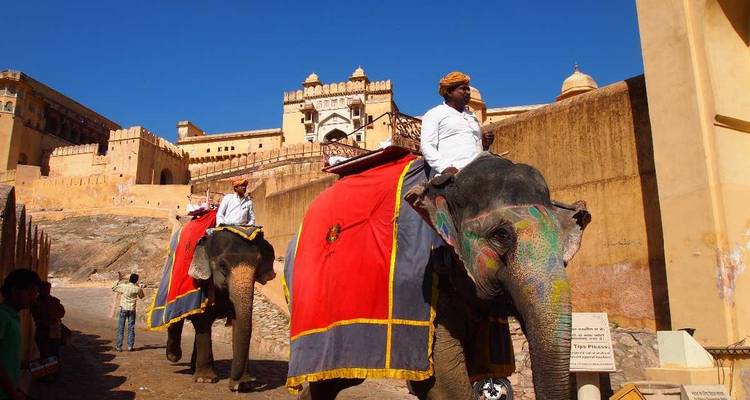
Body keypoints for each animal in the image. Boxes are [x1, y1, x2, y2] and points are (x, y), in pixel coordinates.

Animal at [164, 229, 276, 391]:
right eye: (223, 265)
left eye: (258, 264)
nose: (234, 385)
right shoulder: (203, 287)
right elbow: (202, 322)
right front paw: (206, 380)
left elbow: (237, 322)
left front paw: (244, 384)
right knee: (176, 320)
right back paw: (174, 356)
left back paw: (193, 367)